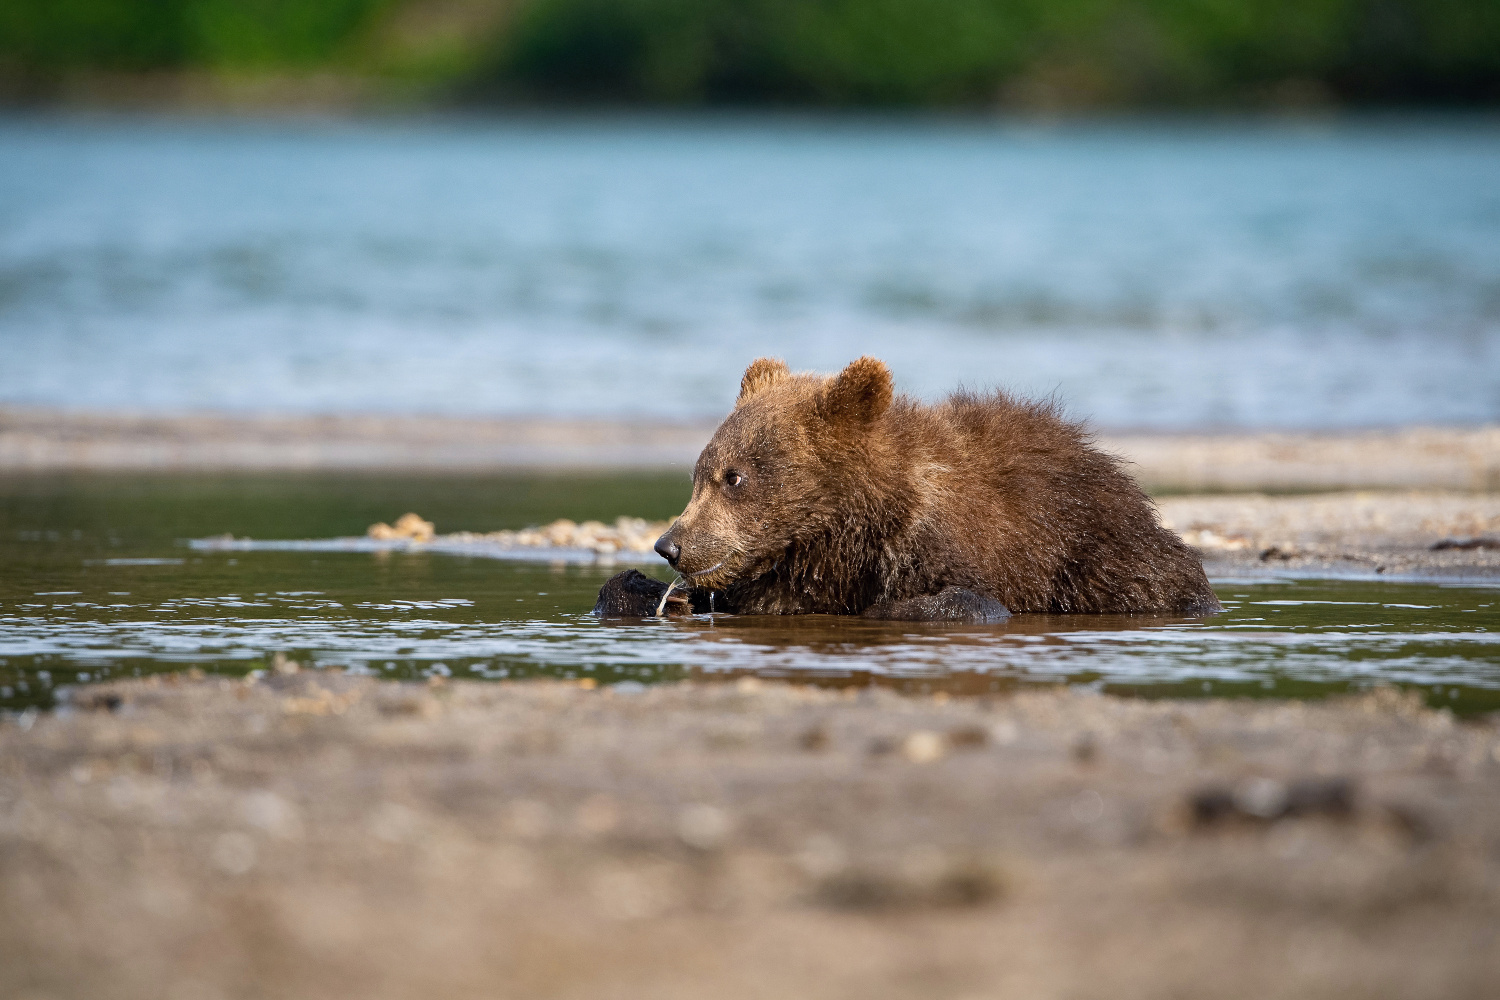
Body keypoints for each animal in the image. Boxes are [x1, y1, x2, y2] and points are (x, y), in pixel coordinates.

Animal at [594, 355, 1218, 620]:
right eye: (699, 472)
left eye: (735, 477)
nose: (670, 544)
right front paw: (640, 589)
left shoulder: (950, 543)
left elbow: (963, 600)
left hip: (1100, 553)